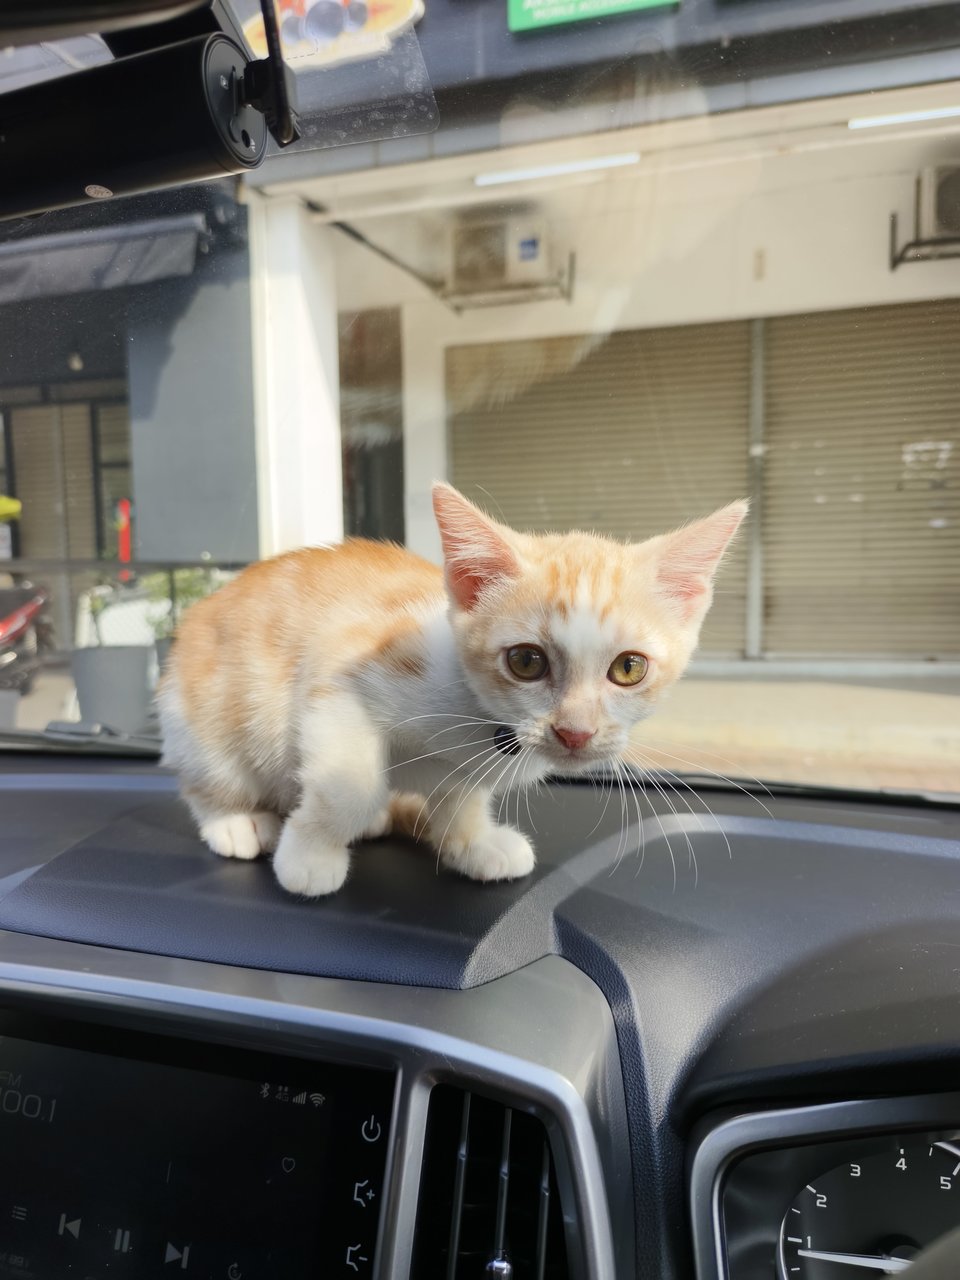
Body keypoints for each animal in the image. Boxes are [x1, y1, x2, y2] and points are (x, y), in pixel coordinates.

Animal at [160, 481, 742, 901]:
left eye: (628, 668)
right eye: (525, 661)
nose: (575, 732)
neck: (478, 720)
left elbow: (463, 792)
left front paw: (473, 842)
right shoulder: (342, 671)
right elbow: (349, 787)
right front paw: (309, 857)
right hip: (205, 714)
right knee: (205, 776)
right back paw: (234, 820)